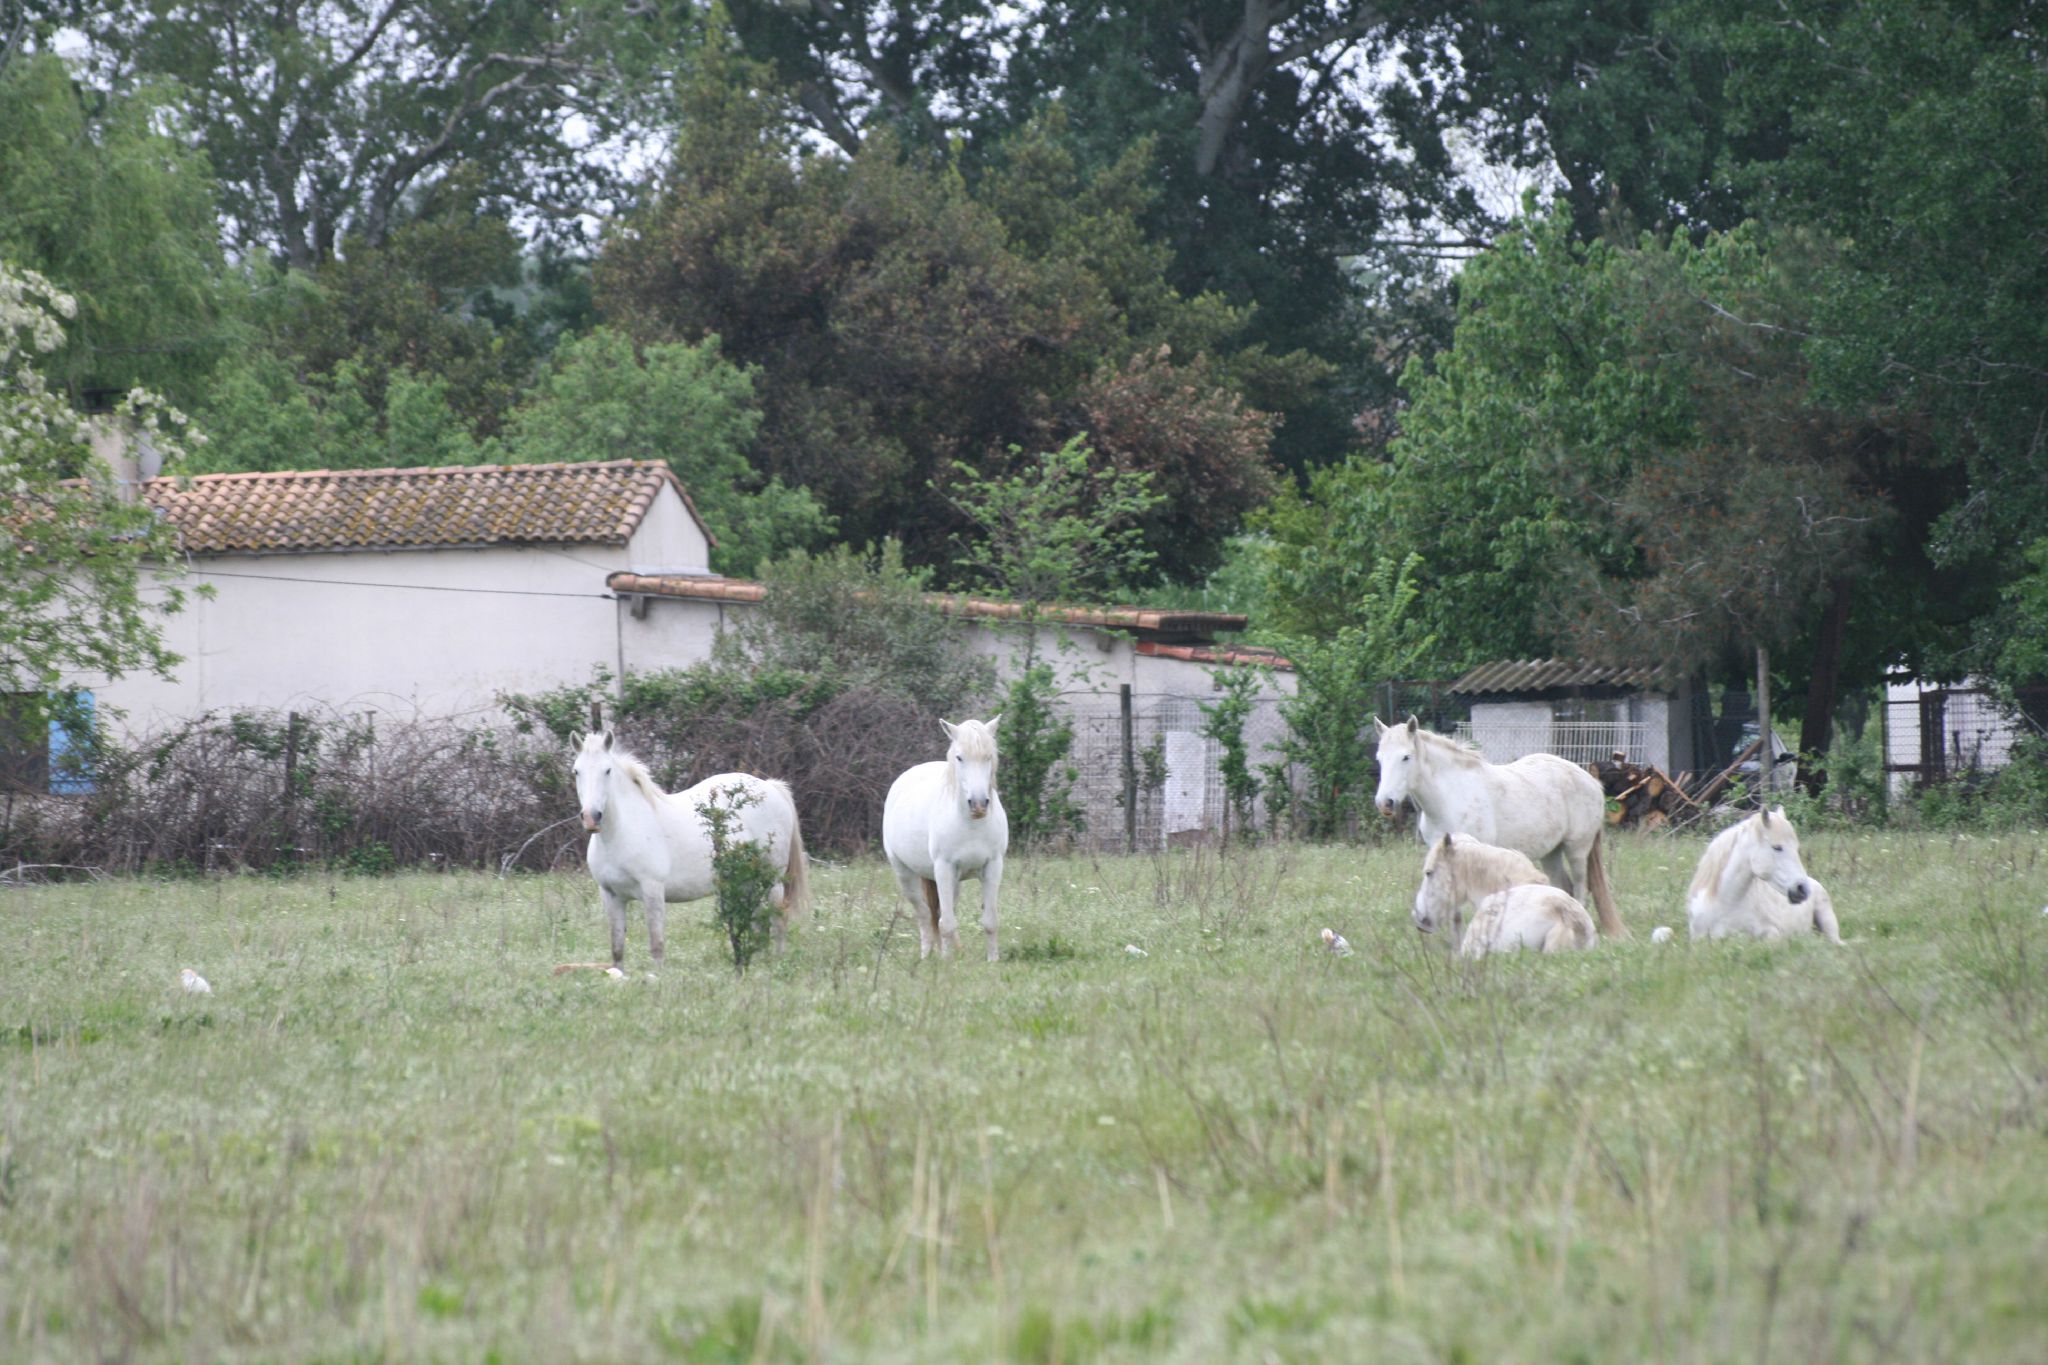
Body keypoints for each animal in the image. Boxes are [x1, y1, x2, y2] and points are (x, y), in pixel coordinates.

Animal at [573, 732, 811, 965]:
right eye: (576, 771)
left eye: (608, 770)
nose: (591, 817)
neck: (621, 833)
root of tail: (771, 787)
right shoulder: (611, 895)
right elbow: (617, 950)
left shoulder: (653, 891)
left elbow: (657, 945)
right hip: (747, 882)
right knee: (758, 922)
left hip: (772, 880)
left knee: (778, 919)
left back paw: (777, 963)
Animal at [880, 716, 1007, 961]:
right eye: (959, 757)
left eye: (989, 756)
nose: (979, 804)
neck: (971, 825)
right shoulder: (944, 869)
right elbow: (945, 923)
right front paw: (947, 963)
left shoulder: (993, 867)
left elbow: (990, 921)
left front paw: (993, 960)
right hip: (905, 875)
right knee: (924, 914)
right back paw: (927, 955)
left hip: (954, 882)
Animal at [1376, 716, 1630, 941]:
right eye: (1379, 759)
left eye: (1406, 757)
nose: (1384, 803)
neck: (1451, 796)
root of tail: (1591, 781)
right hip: (1551, 853)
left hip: (1576, 850)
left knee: (1580, 888)